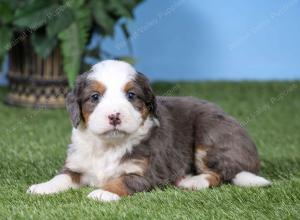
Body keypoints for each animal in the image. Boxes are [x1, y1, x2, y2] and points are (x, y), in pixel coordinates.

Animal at [27, 59, 270, 201]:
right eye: (94, 97)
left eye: (131, 95)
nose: (114, 116)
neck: (109, 146)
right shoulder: (77, 164)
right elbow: (61, 177)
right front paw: (41, 187)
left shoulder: (147, 172)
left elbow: (122, 181)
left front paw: (103, 192)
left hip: (208, 133)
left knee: (222, 173)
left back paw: (192, 181)